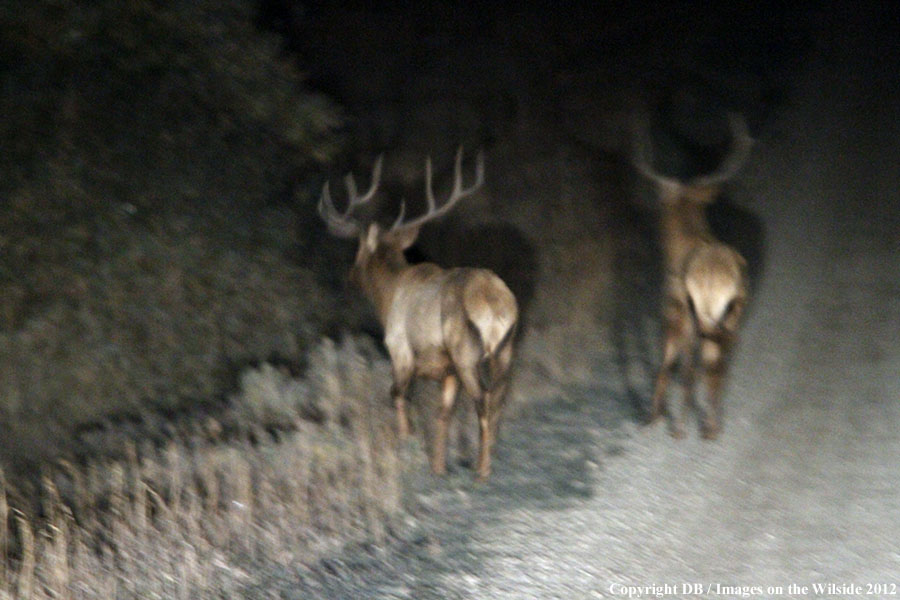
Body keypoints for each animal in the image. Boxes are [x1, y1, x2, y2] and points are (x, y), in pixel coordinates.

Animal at [318, 148, 516, 480]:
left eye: (359, 248)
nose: (350, 276)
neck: (386, 297)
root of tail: (495, 304)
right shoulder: (446, 370)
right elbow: (442, 414)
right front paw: (438, 466)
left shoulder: (399, 349)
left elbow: (397, 395)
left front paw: (405, 444)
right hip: (504, 351)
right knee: (500, 398)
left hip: (466, 353)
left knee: (484, 401)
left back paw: (482, 470)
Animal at [632, 115, 752, 438]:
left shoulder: (674, 306)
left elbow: (668, 363)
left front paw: (655, 417)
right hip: (732, 313)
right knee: (719, 363)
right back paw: (712, 427)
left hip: (697, 312)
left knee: (694, 366)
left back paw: (683, 427)